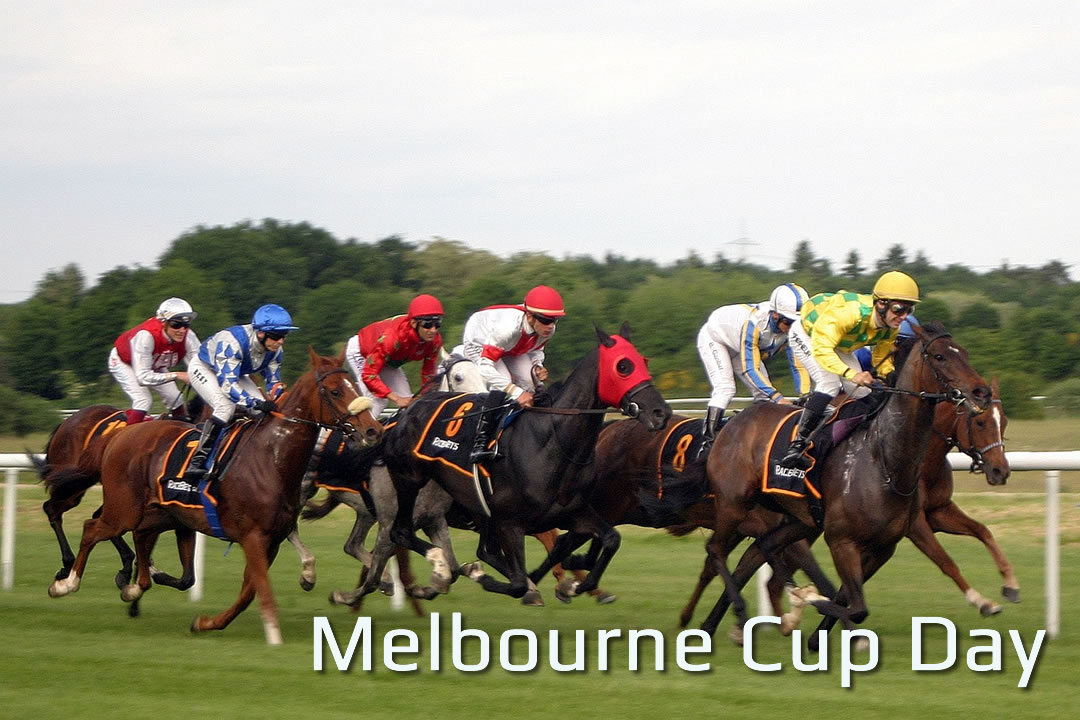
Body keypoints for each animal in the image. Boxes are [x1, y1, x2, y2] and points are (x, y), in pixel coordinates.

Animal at [46, 345, 384, 643]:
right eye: (335, 391)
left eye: (355, 385)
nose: (372, 430)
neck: (271, 457)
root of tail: (119, 435)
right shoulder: (253, 537)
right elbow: (261, 589)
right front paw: (274, 635)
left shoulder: (270, 539)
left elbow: (248, 592)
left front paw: (206, 623)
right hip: (124, 510)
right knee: (90, 527)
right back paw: (66, 583)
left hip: (159, 515)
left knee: (138, 541)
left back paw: (132, 586)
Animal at [699, 323, 993, 639]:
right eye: (939, 356)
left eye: (964, 353)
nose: (981, 392)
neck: (885, 462)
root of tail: (731, 422)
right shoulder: (842, 541)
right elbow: (854, 605)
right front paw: (807, 601)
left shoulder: (883, 547)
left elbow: (849, 601)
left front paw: (817, 633)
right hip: (734, 503)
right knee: (716, 550)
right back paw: (741, 612)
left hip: (796, 518)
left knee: (761, 547)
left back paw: (717, 623)